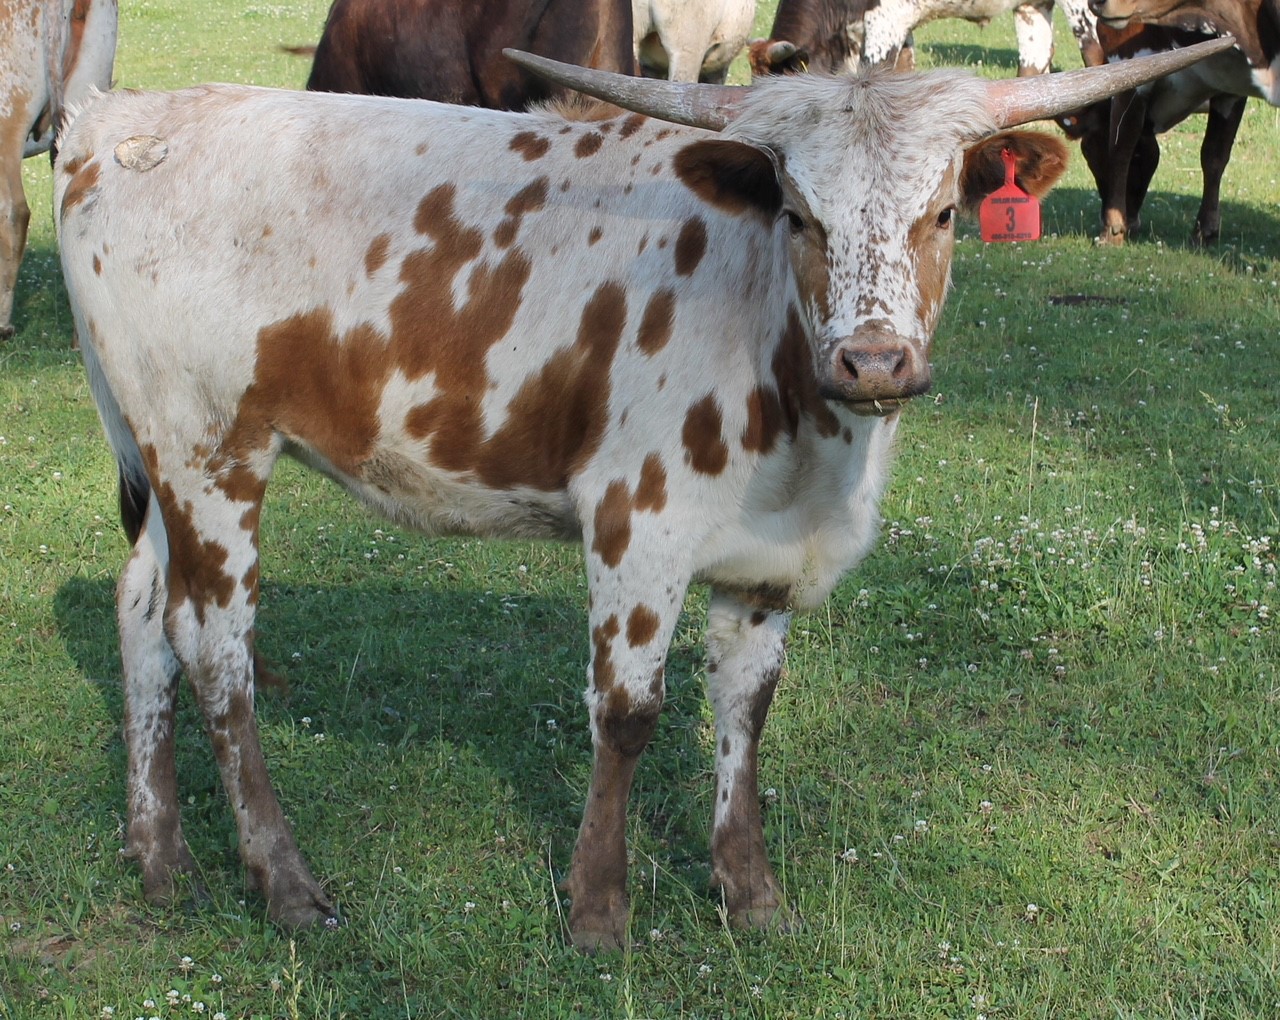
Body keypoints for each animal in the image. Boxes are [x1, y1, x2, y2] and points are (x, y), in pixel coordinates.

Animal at [54, 39, 1231, 951]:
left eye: (943, 212)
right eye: (798, 215)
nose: (873, 361)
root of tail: (119, 119)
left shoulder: (765, 563)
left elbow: (745, 709)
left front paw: (751, 897)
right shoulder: (636, 527)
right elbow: (626, 717)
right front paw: (596, 910)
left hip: (158, 455)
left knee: (141, 610)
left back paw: (159, 856)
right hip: (212, 452)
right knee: (217, 649)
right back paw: (285, 882)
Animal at [1075, 23, 1253, 244]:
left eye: (1088, 151)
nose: (1131, 221)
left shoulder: (1130, 66)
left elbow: (1120, 151)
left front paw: (1111, 229)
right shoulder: (1230, 89)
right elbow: (1214, 156)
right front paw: (1205, 230)